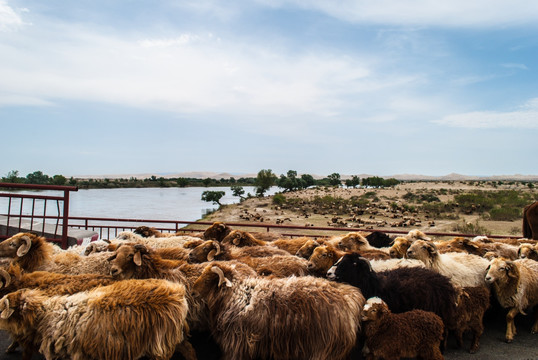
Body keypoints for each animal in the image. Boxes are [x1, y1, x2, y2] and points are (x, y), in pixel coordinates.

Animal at [0, 278, 193, 360]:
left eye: (2, 306)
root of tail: (177, 290)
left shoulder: (79, 352)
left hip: (161, 340)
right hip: (171, 335)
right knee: (187, 347)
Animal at [191, 262, 362, 360]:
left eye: (208, 279)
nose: (192, 292)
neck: (237, 294)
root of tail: (349, 300)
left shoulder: (238, 343)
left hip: (323, 349)